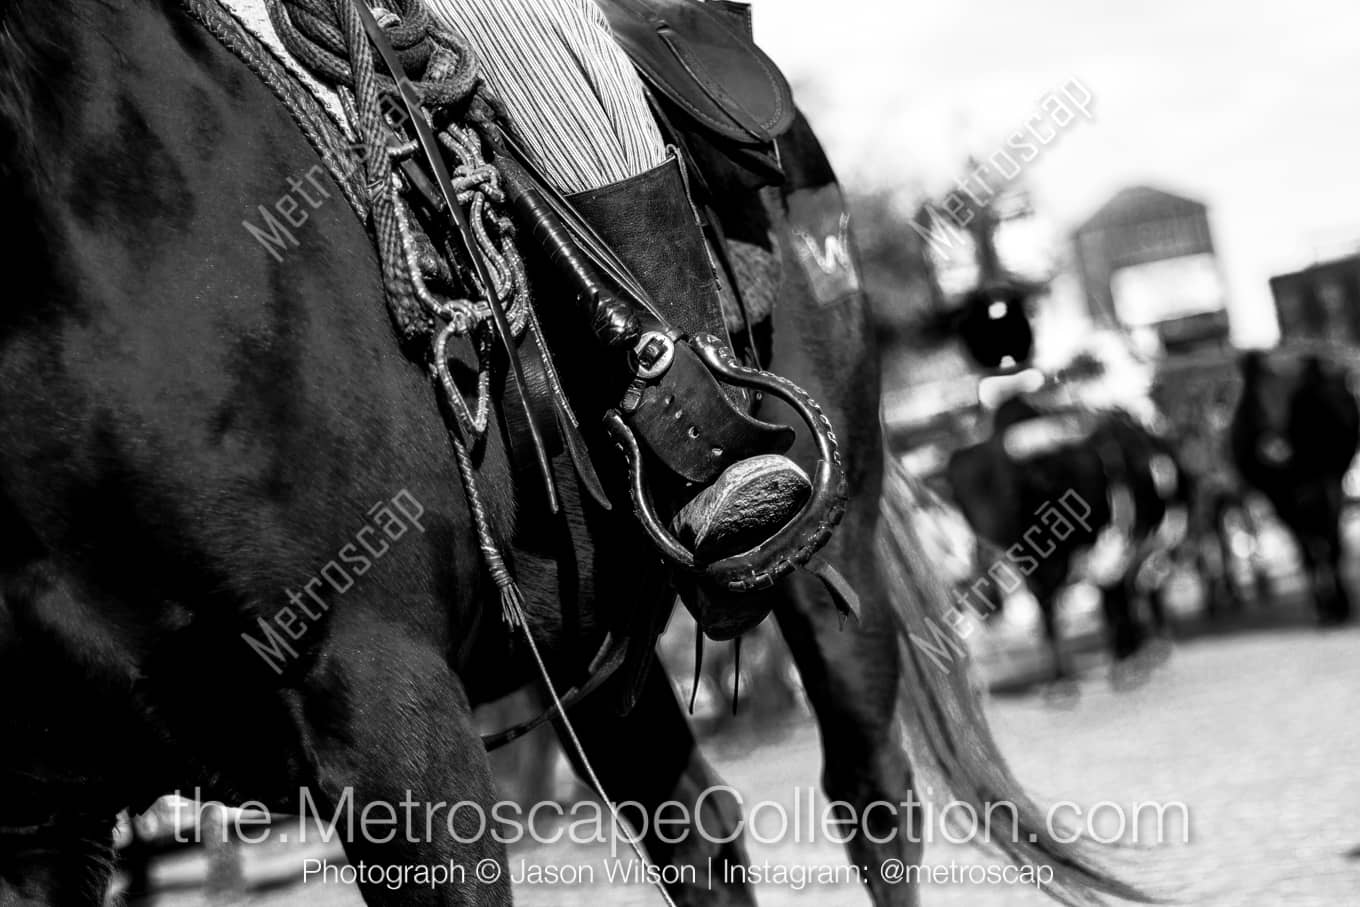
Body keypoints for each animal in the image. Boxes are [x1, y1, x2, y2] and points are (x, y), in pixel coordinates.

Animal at [946, 394, 1191, 685]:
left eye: (1008, 487)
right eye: (964, 497)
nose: (983, 542)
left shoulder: (1111, 550)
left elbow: (1114, 603)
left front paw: (1126, 663)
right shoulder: (1035, 571)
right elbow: (1048, 617)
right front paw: (1060, 681)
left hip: (1165, 541)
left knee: (1150, 586)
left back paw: (1157, 644)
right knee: (1137, 587)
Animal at [1234, 348, 1360, 625]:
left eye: (1298, 399)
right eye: (1257, 396)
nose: (1274, 449)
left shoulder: (1330, 481)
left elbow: (1331, 543)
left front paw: (1340, 605)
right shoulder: (1277, 497)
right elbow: (1306, 551)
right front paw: (1322, 608)